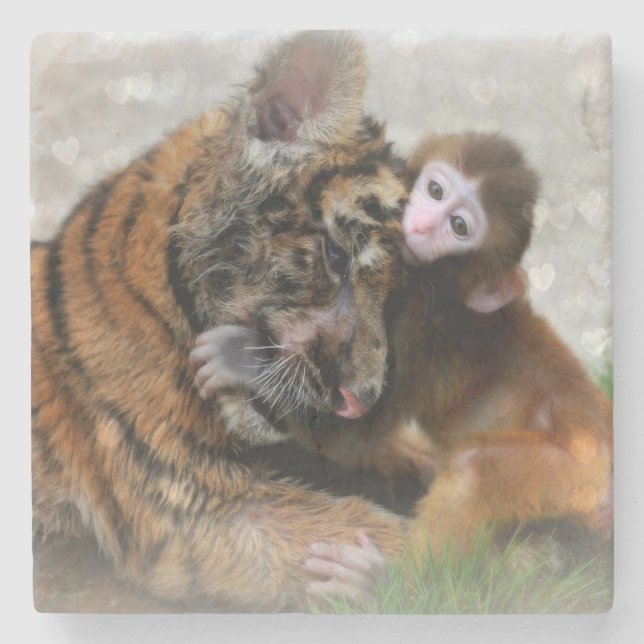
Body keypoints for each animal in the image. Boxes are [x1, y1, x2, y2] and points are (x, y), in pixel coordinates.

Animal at [189, 131, 612, 602]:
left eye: (459, 227)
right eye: (436, 190)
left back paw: (390, 585)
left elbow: (349, 438)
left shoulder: (412, 327)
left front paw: (245, 360)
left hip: (575, 472)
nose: (423, 225)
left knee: (474, 470)